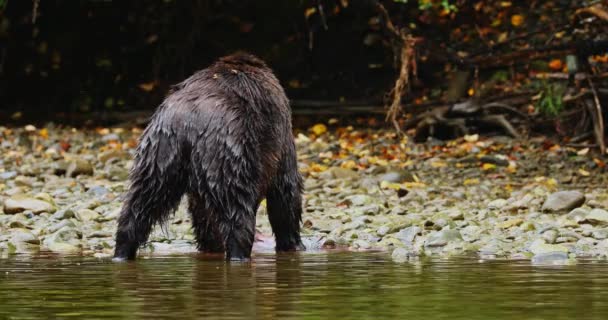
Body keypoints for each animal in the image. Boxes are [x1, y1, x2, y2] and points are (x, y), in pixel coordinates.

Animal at [112, 52, 306, 262]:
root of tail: (188, 121)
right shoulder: (282, 138)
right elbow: (285, 192)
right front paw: (293, 244)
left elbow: (202, 214)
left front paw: (211, 245)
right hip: (227, 152)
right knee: (237, 210)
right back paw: (239, 254)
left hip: (159, 154)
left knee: (139, 204)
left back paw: (122, 252)